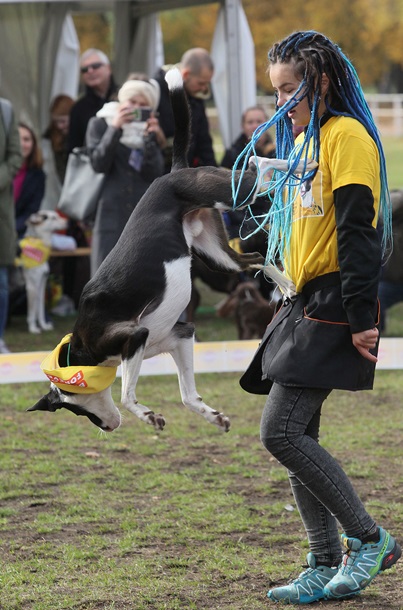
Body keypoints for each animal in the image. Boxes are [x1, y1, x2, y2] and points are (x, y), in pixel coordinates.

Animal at [28, 69, 262, 430]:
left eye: (78, 407)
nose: (107, 427)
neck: (84, 345)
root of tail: (174, 170)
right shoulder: (180, 336)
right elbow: (188, 397)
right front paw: (214, 417)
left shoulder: (135, 336)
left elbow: (126, 395)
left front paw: (149, 415)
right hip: (221, 258)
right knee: (257, 259)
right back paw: (288, 285)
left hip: (232, 194)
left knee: (257, 172)